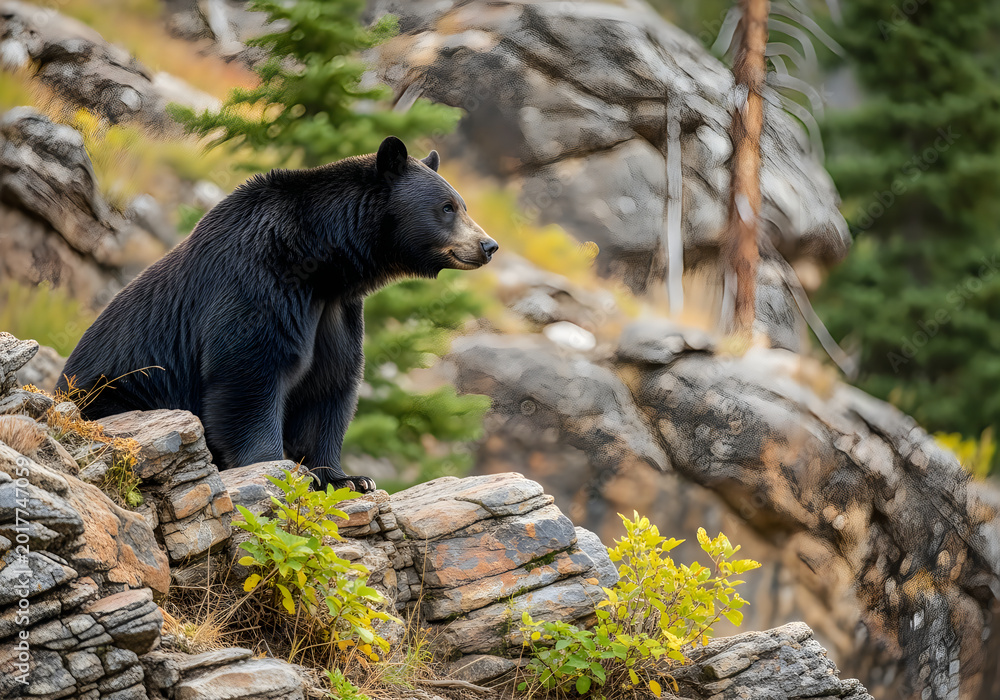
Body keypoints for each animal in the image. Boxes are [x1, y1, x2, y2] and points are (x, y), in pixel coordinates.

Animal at [57, 136, 497, 493]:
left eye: (461, 204)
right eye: (447, 207)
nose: (488, 245)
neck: (324, 260)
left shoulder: (335, 311)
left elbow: (330, 380)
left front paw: (348, 478)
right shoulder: (260, 279)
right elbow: (251, 369)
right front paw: (275, 466)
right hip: (115, 391)